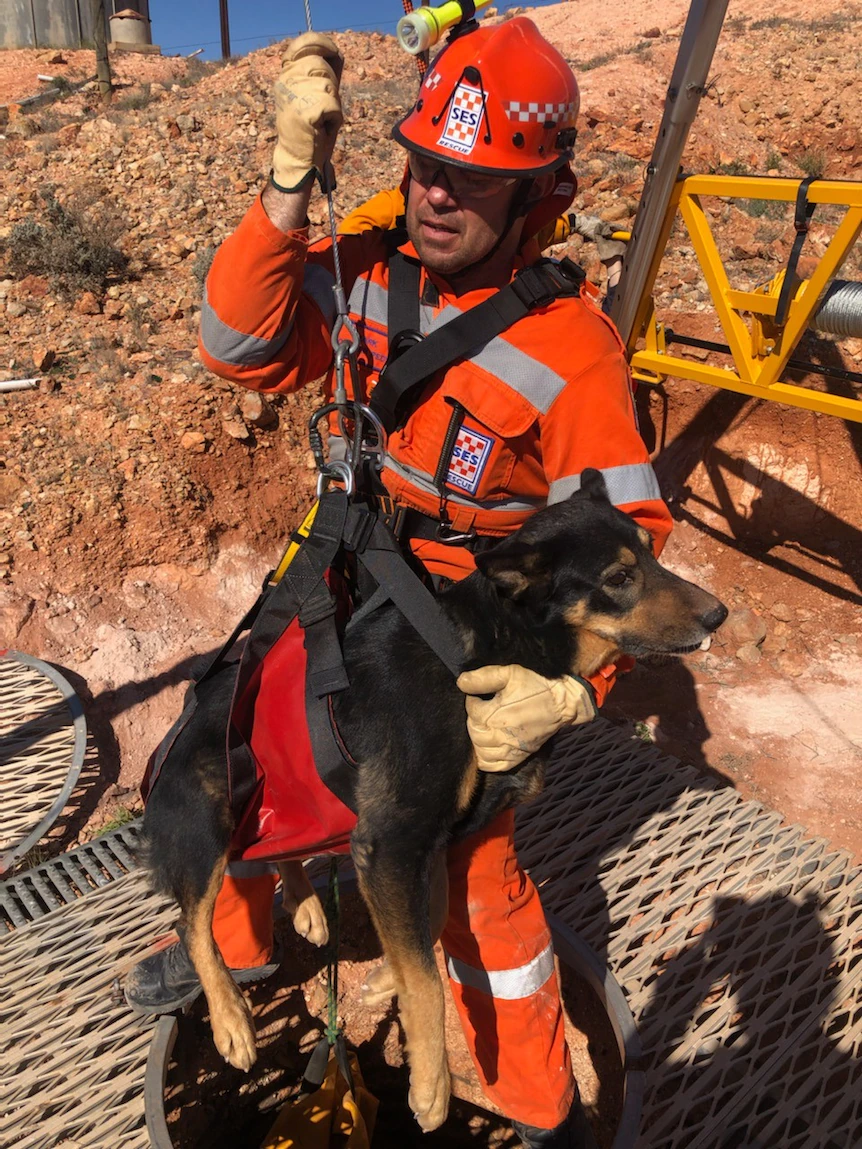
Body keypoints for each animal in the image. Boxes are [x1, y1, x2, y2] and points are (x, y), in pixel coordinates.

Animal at [140, 468, 730, 1130]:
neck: (486, 649)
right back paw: (233, 1021)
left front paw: (382, 982)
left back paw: (305, 904)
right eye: (620, 579)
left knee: (273, 854)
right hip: (208, 811)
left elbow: (432, 926)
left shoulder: (447, 837)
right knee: (193, 919)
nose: (720, 615)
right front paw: (430, 1084)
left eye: (653, 555)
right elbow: (425, 974)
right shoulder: (392, 842)